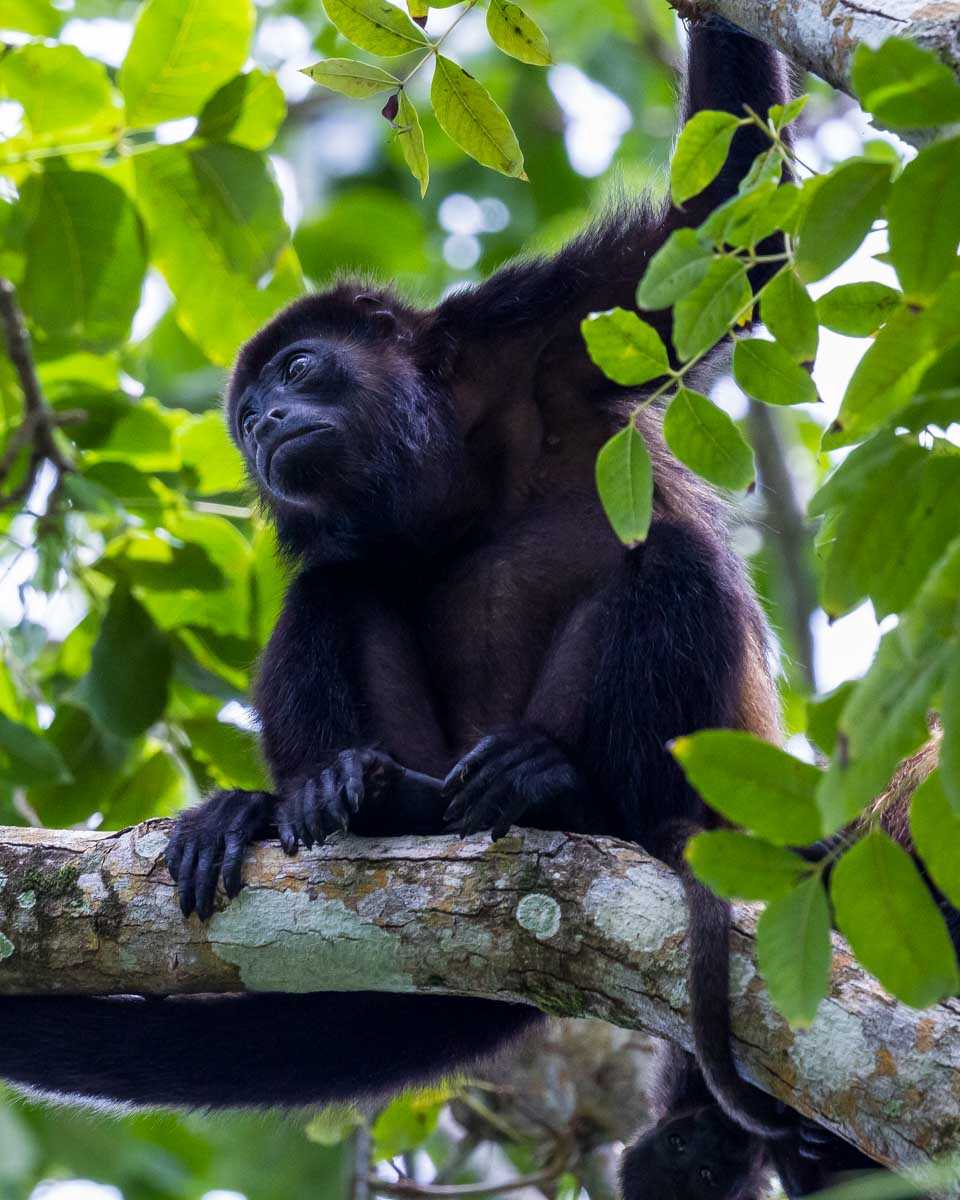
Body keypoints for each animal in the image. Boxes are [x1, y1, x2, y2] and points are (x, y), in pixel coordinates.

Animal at [0, 9, 803, 1179]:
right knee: (332, 594)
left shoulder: (530, 329)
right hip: (429, 751)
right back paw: (349, 802)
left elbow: (728, 227)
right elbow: (330, 578)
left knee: (670, 563)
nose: (265, 423)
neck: (448, 468)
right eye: (245, 413)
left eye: (297, 369)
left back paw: (565, 795)